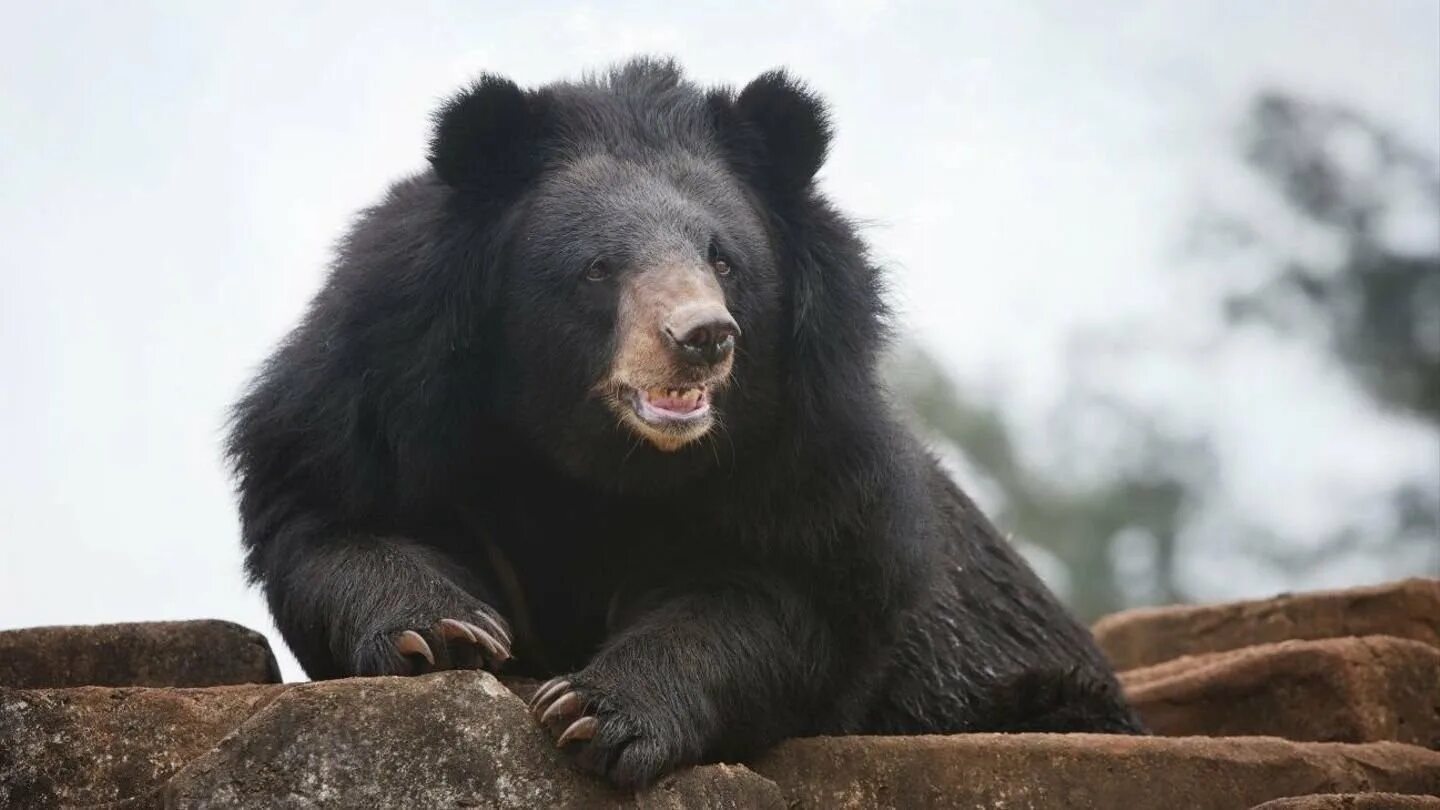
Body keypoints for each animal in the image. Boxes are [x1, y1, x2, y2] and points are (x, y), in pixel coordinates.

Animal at [230, 56, 1140, 784]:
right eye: (599, 267)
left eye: (723, 259)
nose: (703, 338)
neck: (596, 461)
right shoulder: (375, 393)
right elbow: (331, 519)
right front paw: (445, 633)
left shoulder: (815, 461)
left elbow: (771, 600)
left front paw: (595, 714)